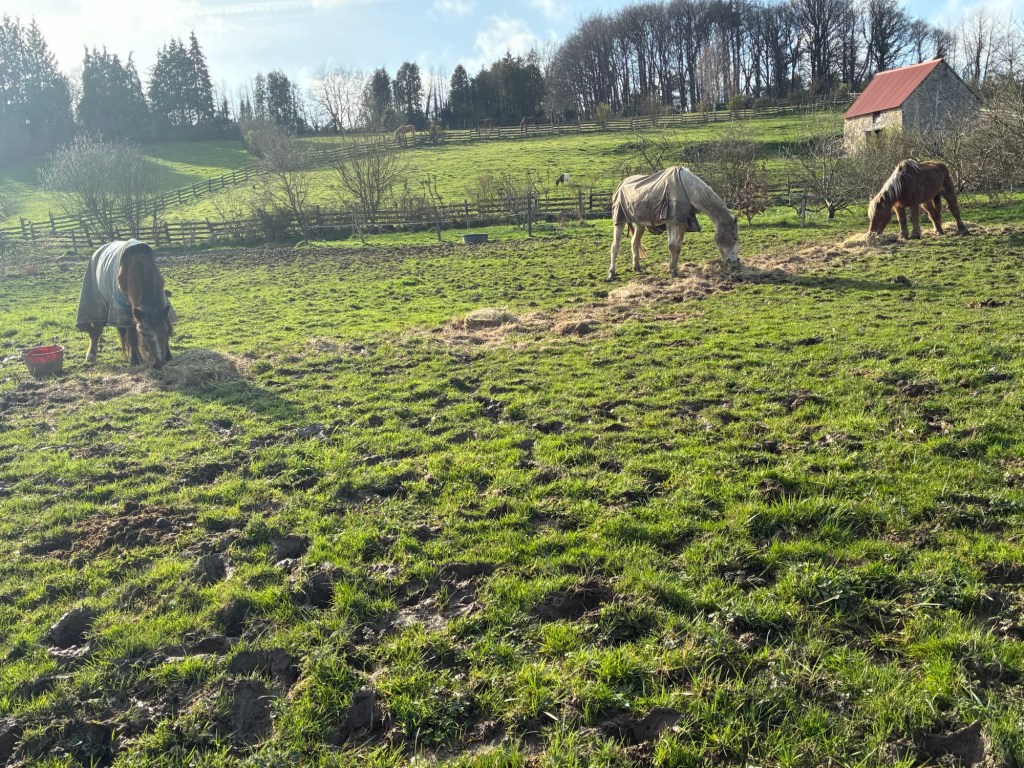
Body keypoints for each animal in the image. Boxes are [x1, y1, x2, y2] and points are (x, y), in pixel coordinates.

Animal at [76, 239, 175, 369]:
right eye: (143, 334)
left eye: (165, 331)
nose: (158, 364)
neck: (138, 264)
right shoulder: (125, 310)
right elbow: (132, 336)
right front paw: (134, 360)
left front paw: (168, 355)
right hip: (99, 304)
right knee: (96, 329)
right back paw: (91, 355)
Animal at [609, 166, 739, 279]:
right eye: (735, 238)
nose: (734, 261)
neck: (687, 189)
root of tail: (621, 184)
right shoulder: (671, 222)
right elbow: (672, 246)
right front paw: (672, 271)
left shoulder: (682, 223)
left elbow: (678, 247)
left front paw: (675, 269)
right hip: (620, 220)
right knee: (615, 246)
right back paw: (611, 273)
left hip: (640, 224)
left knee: (634, 243)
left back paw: (637, 268)